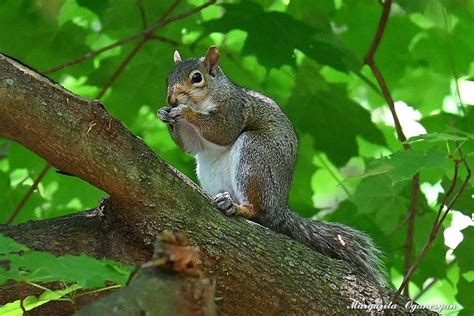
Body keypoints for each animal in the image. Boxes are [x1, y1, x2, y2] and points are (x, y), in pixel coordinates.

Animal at [157, 45, 386, 286]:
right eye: (168, 78)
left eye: (196, 78)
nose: (171, 99)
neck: (206, 98)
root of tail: (279, 208)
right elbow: (191, 146)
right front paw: (164, 114)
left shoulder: (235, 109)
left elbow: (222, 131)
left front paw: (185, 112)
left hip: (255, 156)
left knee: (259, 212)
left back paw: (237, 207)